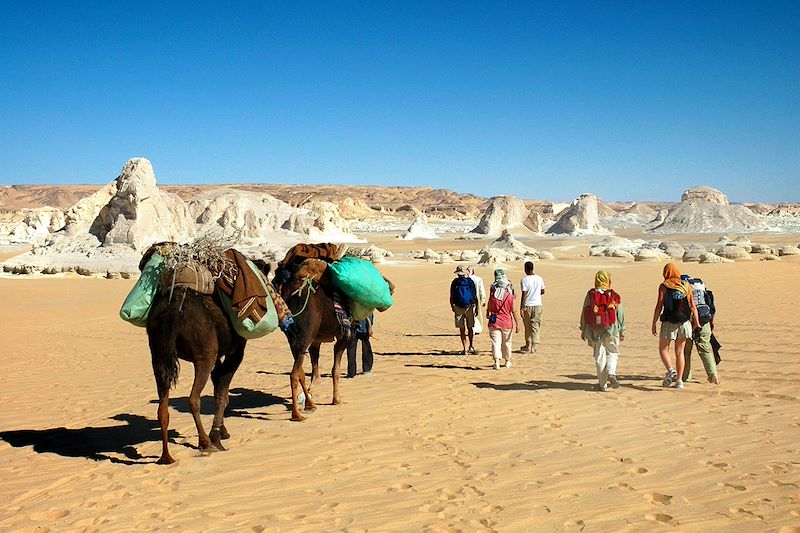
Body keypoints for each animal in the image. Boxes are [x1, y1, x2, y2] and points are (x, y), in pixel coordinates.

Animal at [147, 284, 247, 464]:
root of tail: (174, 308)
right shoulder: (236, 352)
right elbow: (222, 393)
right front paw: (217, 437)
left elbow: (218, 385)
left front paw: (222, 431)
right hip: (204, 355)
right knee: (193, 398)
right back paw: (205, 442)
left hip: (158, 355)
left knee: (162, 408)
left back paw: (166, 457)